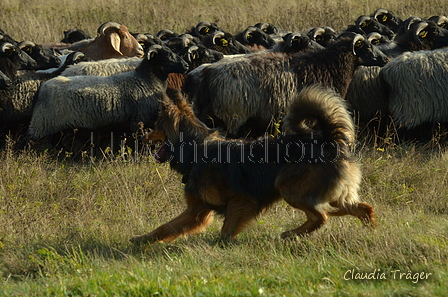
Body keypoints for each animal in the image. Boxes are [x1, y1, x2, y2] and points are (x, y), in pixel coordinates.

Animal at [25, 44, 189, 142]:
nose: (187, 65)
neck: (146, 79)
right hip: (42, 124)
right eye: (168, 55)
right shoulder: (139, 119)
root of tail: (43, 87)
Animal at [130, 84, 374, 244]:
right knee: (359, 208)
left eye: (156, 126)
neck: (197, 151)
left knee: (321, 216)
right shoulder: (197, 209)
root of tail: (328, 139)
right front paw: (143, 239)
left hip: (289, 188)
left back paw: (290, 234)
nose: (142, 137)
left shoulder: (241, 199)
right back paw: (370, 228)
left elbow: (226, 230)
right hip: (328, 194)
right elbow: (166, 227)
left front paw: (222, 244)